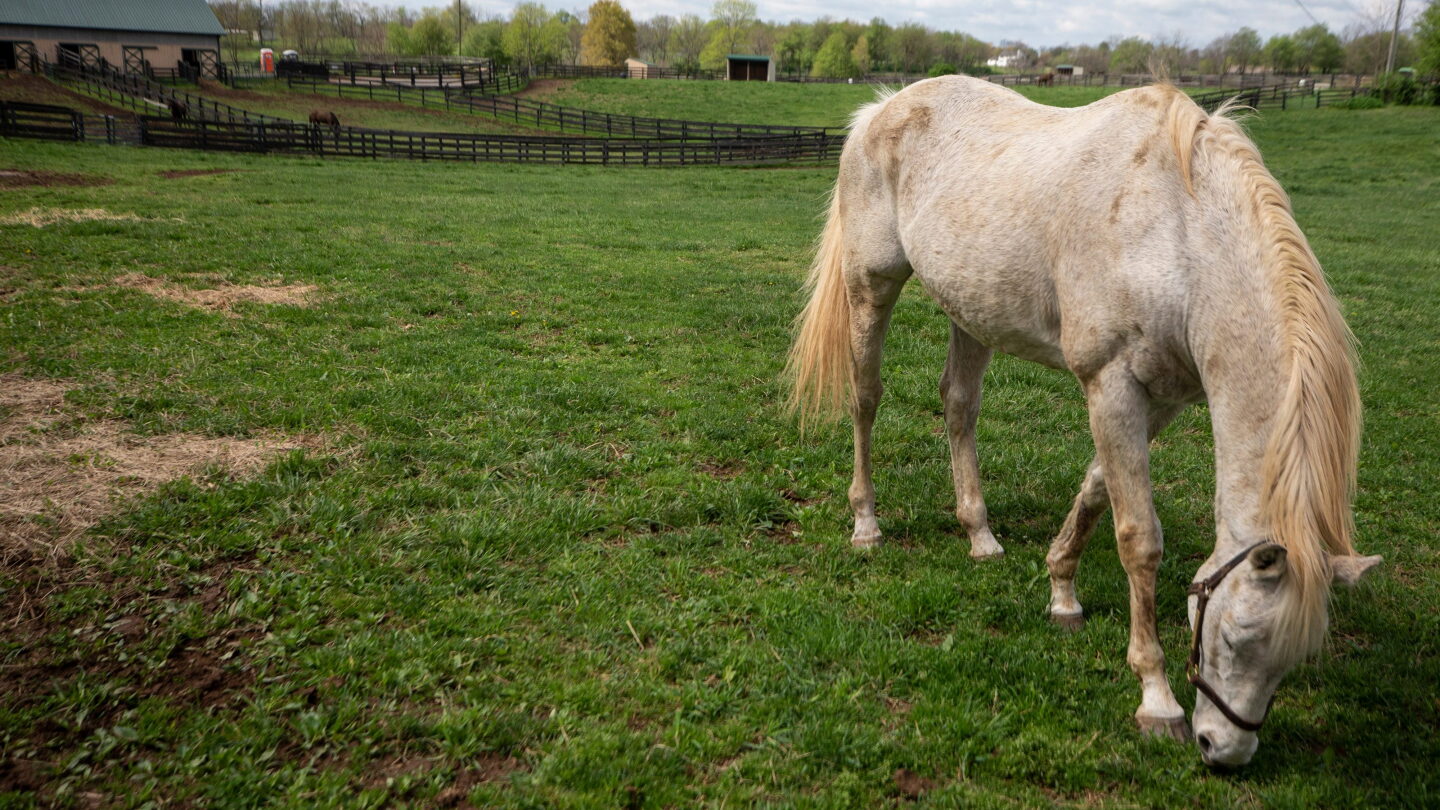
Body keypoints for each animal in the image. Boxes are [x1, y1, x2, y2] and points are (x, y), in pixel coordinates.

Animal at [786, 76, 1381, 767]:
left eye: (1294, 661)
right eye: (1235, 636)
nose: (1222, 751)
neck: (1177, 231)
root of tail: (881, 108)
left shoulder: (1160, 396)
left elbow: (1097, 488)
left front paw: (1061, 590)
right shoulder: (1112, 383)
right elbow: (1138, 538)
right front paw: (1156, 699)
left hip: (971, 308)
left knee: (959, 404)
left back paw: (979, 534)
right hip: (871, 287)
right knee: (866, 400)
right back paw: (866, 524)